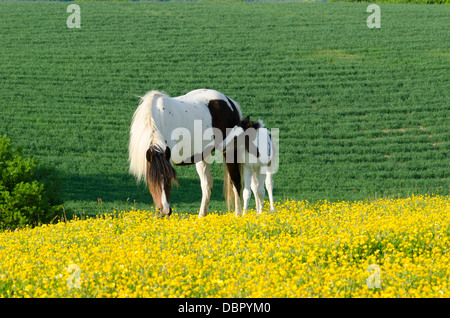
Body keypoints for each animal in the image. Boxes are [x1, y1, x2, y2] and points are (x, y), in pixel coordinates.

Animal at [128, 89, 244, 219]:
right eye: (152, 180)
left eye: (170, 178)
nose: (165, 211)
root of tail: (230, 102)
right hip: (202, 155)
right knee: (207, 184)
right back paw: (201, 217)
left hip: (229, 151)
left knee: (235, 181)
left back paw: (238, 216)